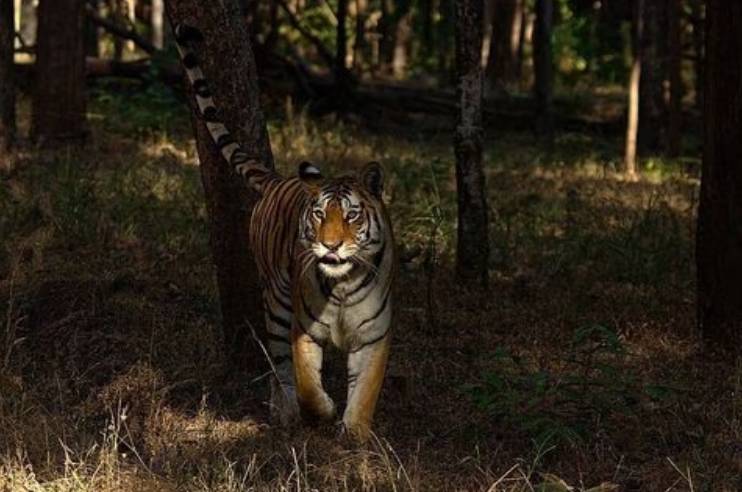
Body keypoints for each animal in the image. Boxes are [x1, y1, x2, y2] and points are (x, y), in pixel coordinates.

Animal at [173, 24, 396, 442]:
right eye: (321, 214)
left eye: (352, 216)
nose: (330, 244)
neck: (342, 286)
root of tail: (277, 179)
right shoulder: (302, 329)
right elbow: (306, 381)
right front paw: (321, 412)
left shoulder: (373, 335)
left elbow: (366, 390)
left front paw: (356, 435)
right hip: (275, 302)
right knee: (278, 366)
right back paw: (285, 412)